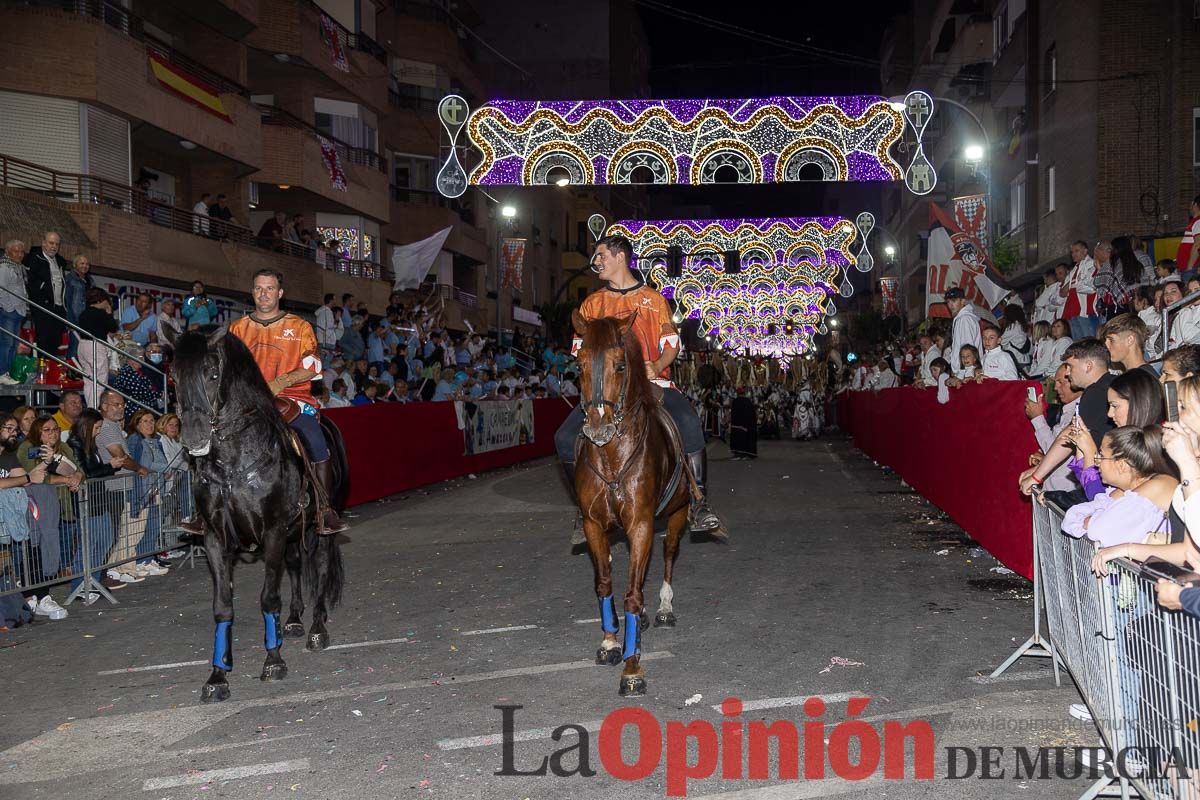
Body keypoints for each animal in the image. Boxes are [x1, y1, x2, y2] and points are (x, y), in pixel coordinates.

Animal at [164, 326, 345, 700]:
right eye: (174, 375)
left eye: (212, 373)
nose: (194, 436)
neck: (234, 464)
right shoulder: (215, 538)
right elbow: (222, 606)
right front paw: (217, 676)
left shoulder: (273, 530)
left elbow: (269, 598)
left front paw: (273, 661)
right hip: (293, 532)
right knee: (295, 565)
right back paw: (294, 621)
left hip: (318, 526)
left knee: (320, 566)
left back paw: (317, 628)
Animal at [573, 309, 696, 695]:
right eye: (579, 363)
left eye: (620, 365)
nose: (597, 428)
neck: (612, 455)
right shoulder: (594, 524)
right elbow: (605, 583)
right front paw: (611, 642)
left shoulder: (641, 523)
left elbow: (633, 593)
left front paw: (632, 669)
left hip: (678, 512)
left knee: (669, 552)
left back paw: (664, 609)